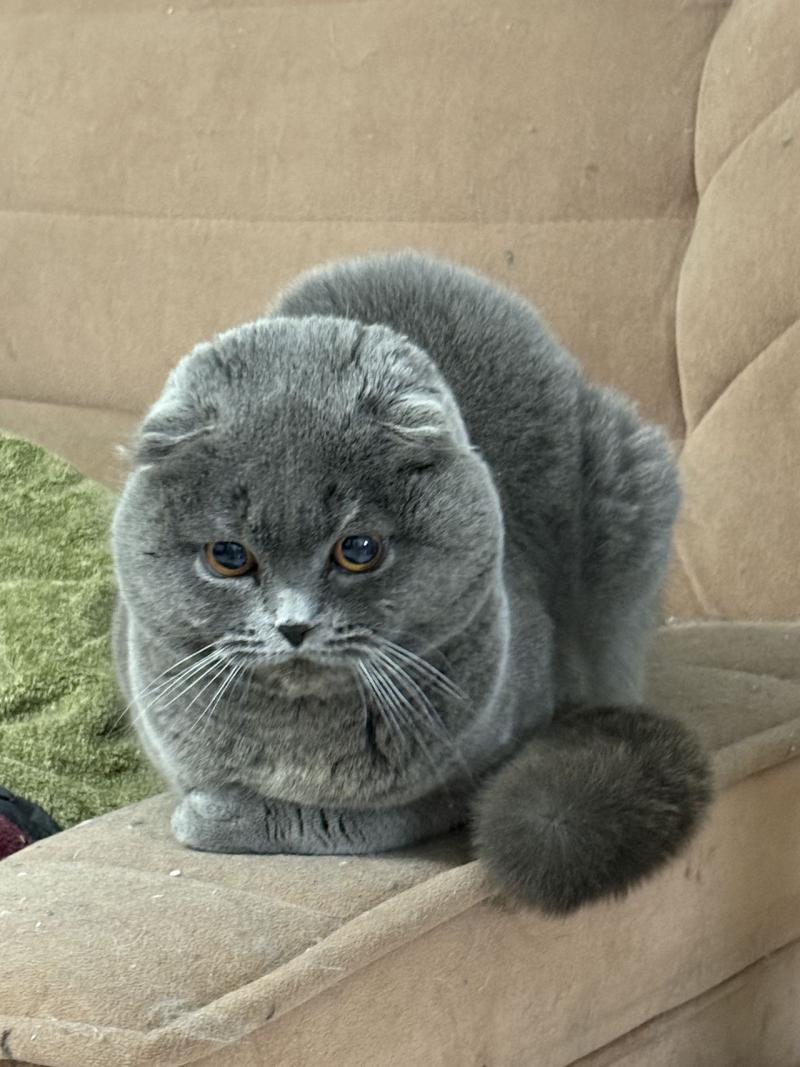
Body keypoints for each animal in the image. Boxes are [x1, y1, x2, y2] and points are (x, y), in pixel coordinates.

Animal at [111, 250, 710, 914]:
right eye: (228, 556)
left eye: (358, 550)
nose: (293, 625)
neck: (299, 743)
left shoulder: (494, 750)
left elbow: (382, 816)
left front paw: (223, 815)